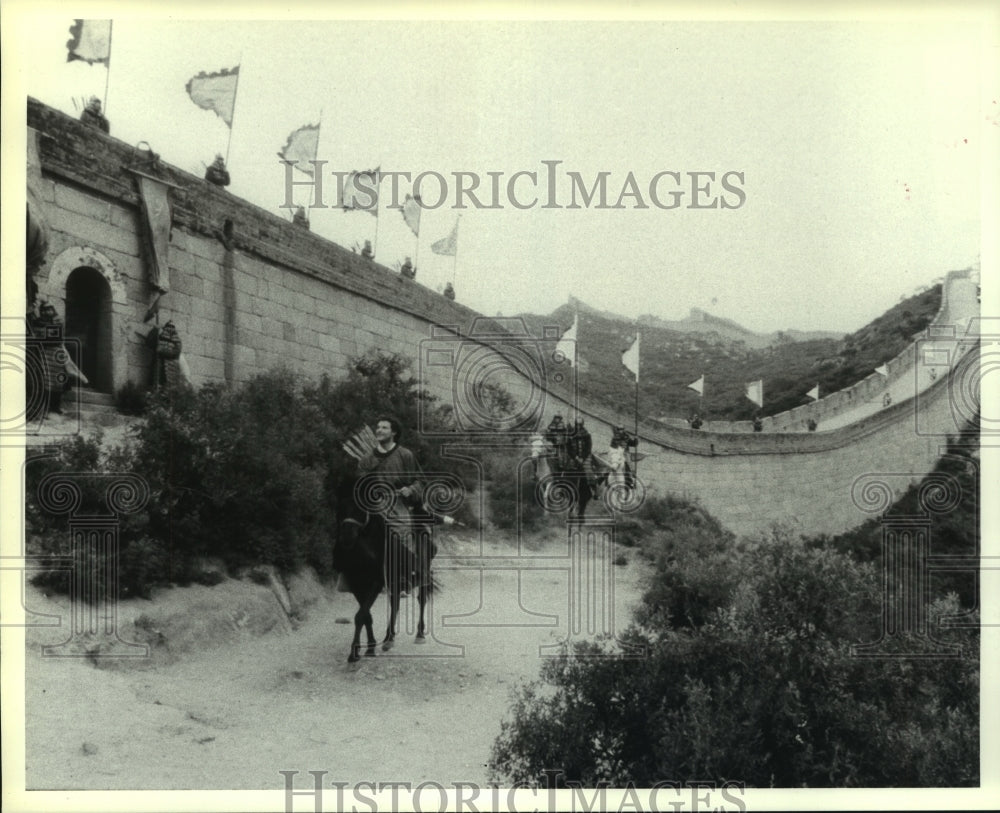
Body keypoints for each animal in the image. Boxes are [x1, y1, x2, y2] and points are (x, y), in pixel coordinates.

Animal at [334, 478, 436, 664]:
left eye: (360, 509)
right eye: (341, 507)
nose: (347, 538)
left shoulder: (376, 582)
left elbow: (361, 615)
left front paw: (354, 652)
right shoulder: (356, 584)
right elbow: (366, 615)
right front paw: (370, 647)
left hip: (422, 571)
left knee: (421, 599)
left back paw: (419, 634)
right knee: (395, 603)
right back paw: (389, 638)